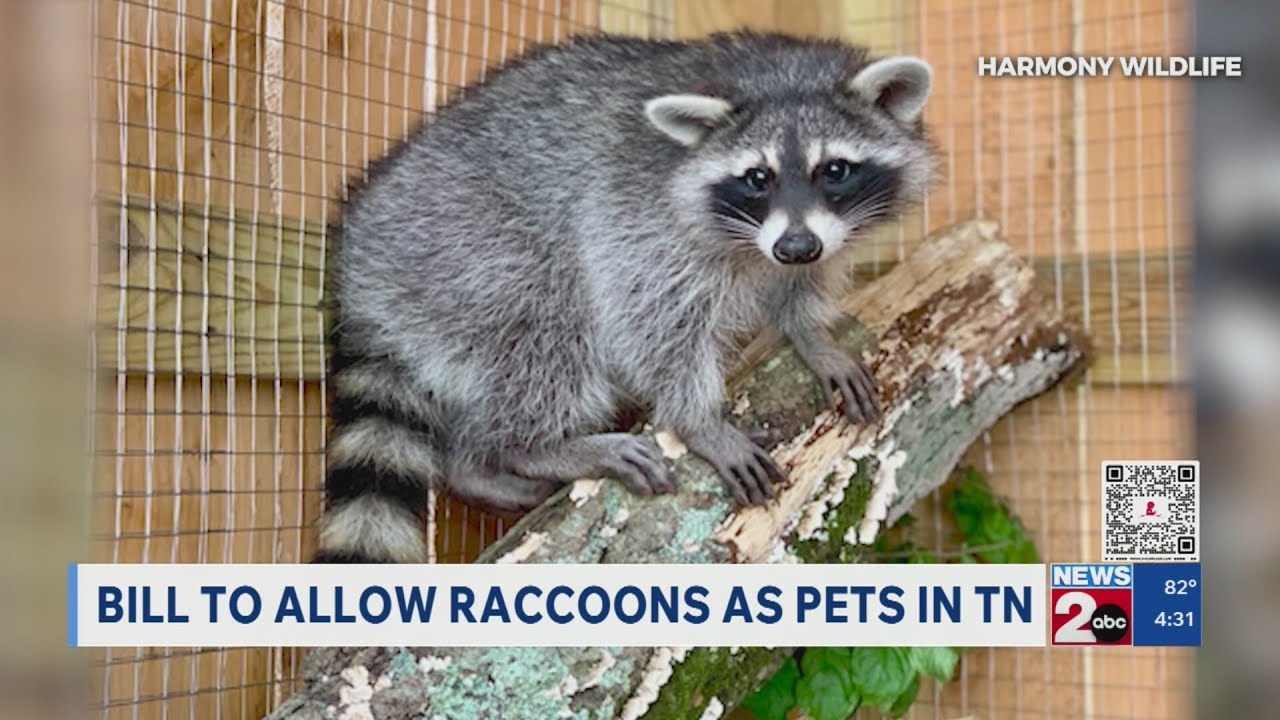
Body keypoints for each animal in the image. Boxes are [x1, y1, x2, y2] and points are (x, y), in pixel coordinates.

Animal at [316, 32, 936, 563]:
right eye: (757, 178)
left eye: (835, 169)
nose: (795, 246)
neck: (775, 73)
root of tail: (359, 268)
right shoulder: (636, 213)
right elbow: (646, 314)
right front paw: (698, 419)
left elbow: (801, 282)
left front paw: (811, 333)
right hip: (460, 245)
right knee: (547, 328)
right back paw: (500, 451)